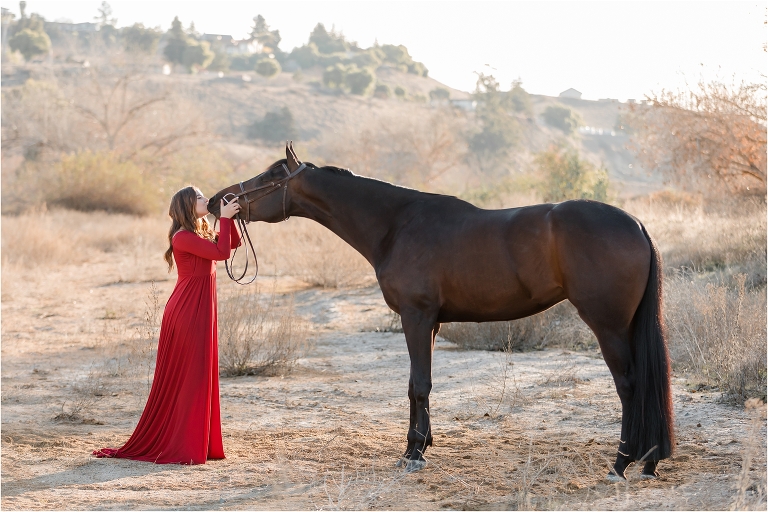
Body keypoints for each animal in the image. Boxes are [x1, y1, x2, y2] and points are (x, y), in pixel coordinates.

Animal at [208, 143, 675, 480]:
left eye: (273, 174)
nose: (217, 200)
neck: (396, 225)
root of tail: (635, 224)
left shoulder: (415, 318)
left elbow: (419, 385)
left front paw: (414, 453)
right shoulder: (429, 324)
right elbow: (417, 387)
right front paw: (418, 446)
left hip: (608, 326)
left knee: (630, 386)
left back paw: (622, 464)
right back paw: (649, 460)